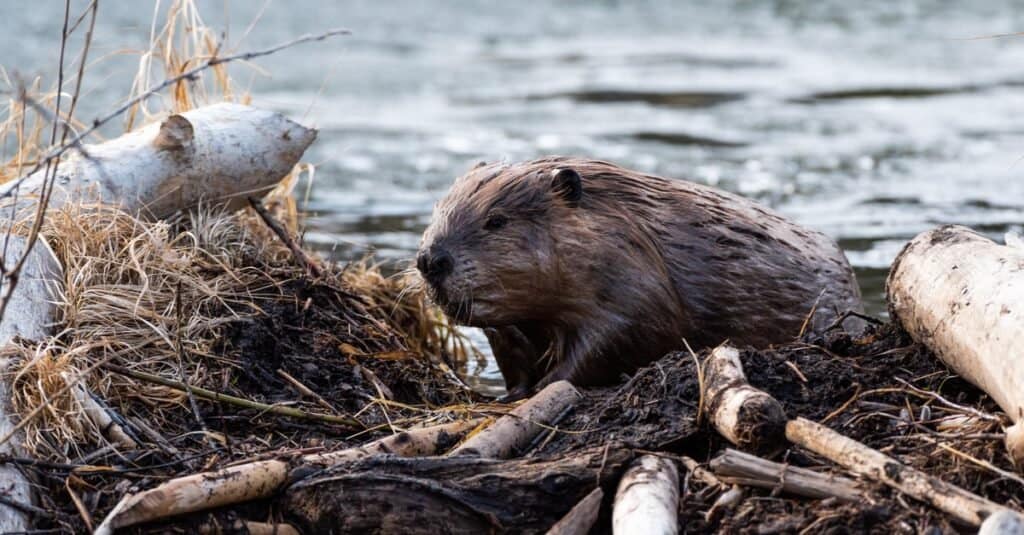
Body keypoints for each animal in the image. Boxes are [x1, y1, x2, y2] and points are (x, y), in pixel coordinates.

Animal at [415, 155, 864, 397]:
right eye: (438, 209)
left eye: (496, 220)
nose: (430, 260)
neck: (628, 227)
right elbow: (512, 352)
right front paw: (513, 394)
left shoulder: (635, 288)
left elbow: (612, 340)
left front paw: (545, 388)